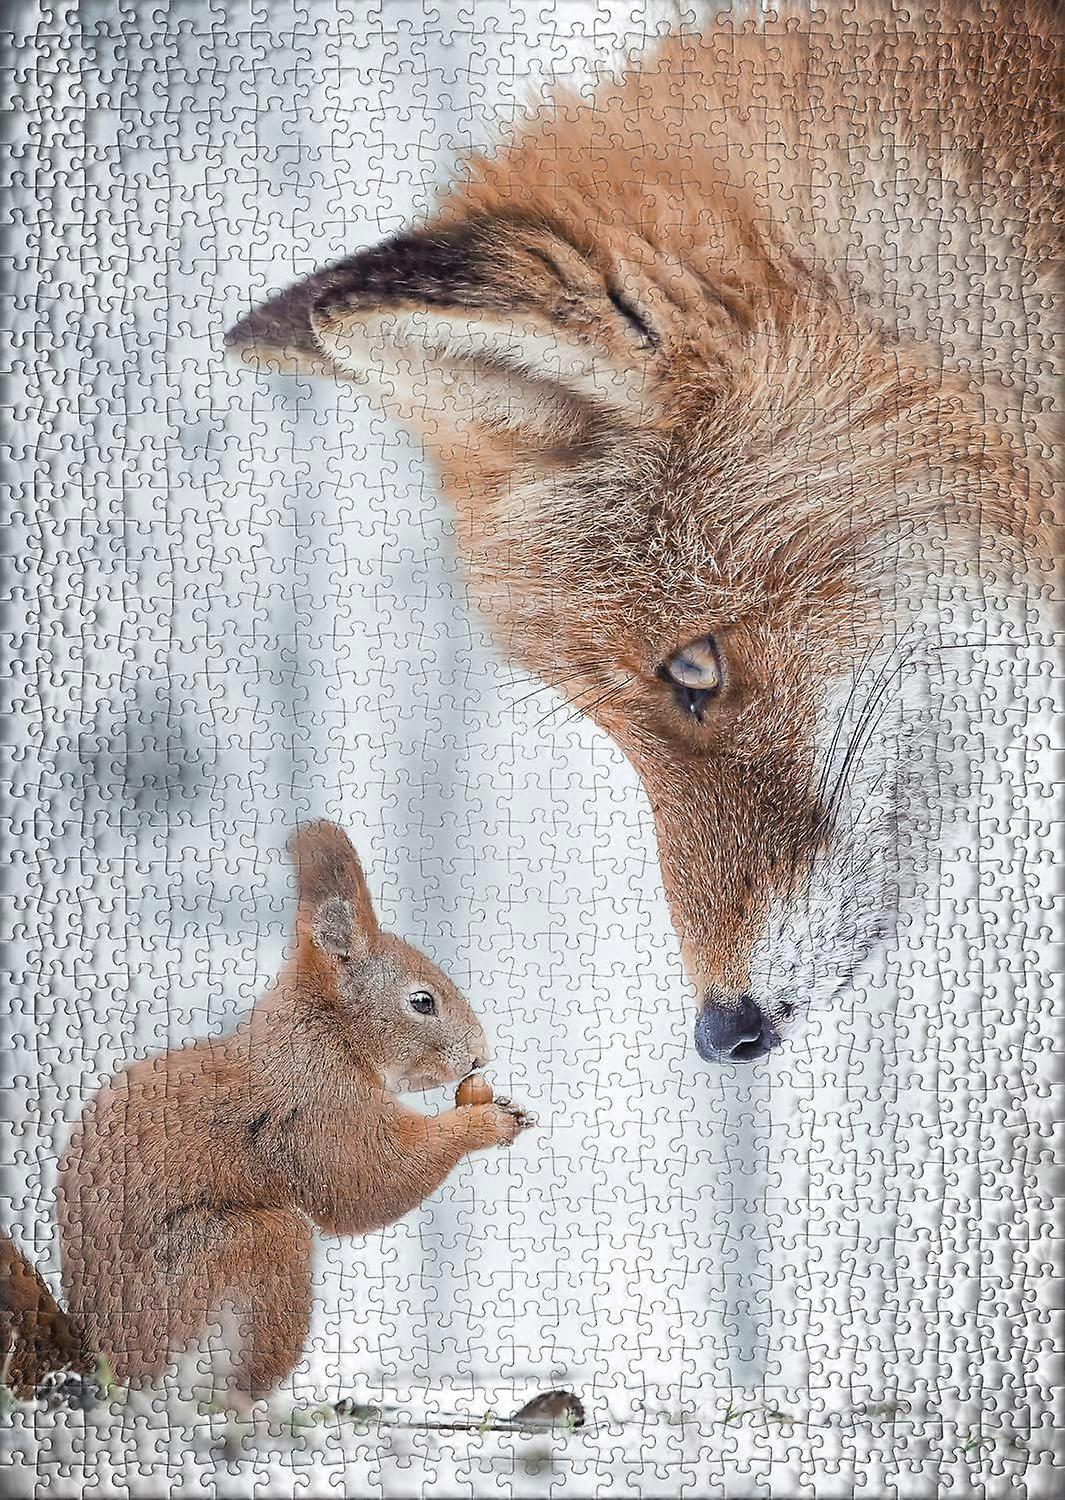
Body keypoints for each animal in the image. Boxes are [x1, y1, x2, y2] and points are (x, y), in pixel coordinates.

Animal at [1, 820, 533, 1400]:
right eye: (422, 1002)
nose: (481, 1054)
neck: (324, 1027)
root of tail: (102, 1359)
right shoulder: (319, 1101)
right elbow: (367, 1181)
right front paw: (483, 1123)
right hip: (245, 1254)